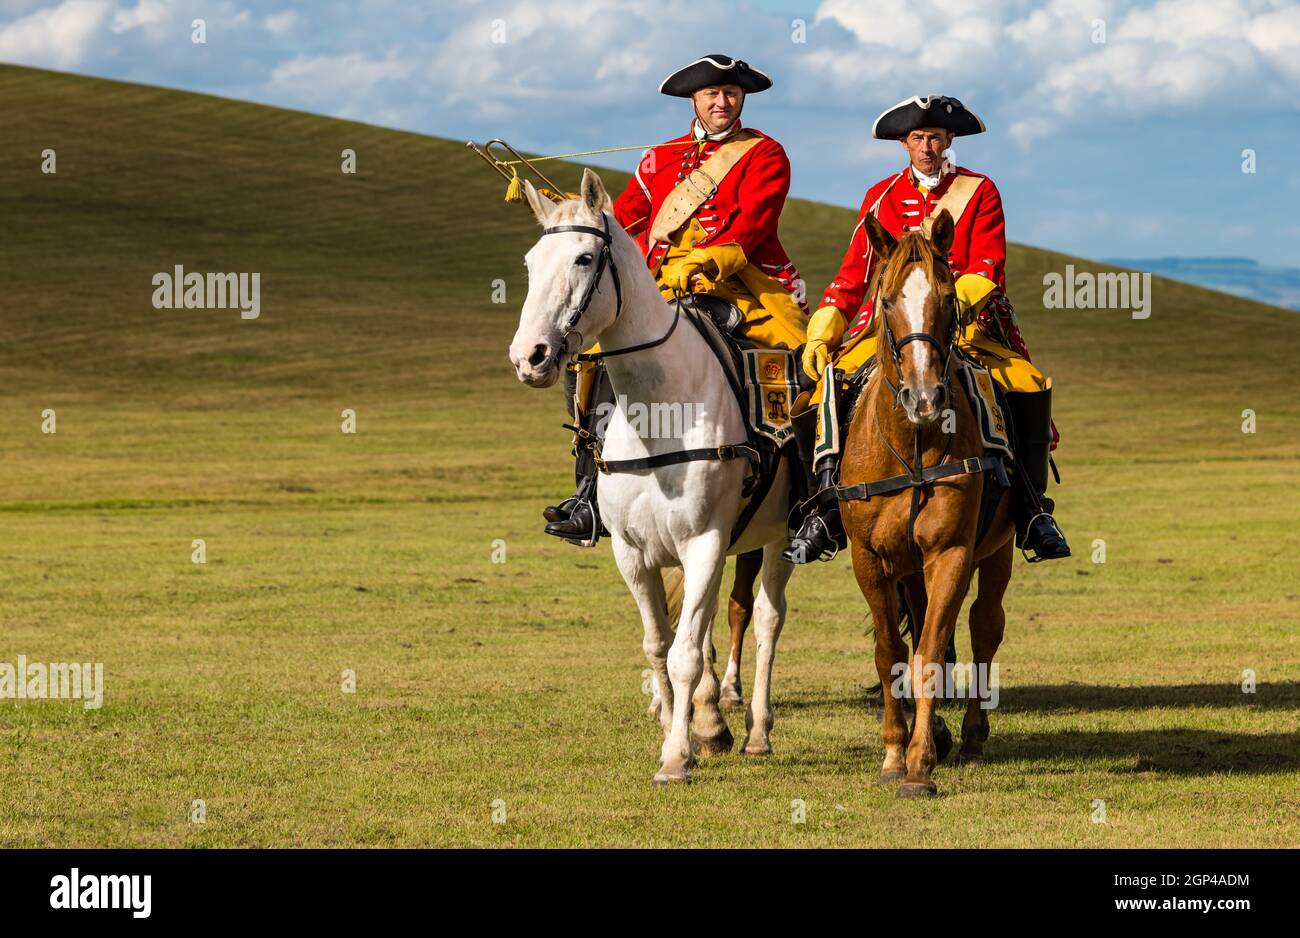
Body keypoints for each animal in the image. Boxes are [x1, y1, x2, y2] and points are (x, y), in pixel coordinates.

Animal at [504, 170, 790, 779]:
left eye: (585, 258)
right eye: (531, 262)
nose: (529, 356)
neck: (660, 411)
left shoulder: (705, 543)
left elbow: (684, 653)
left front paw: (677, 755)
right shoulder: (633, 553)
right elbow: (660, 643)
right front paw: (683, 728)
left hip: (778, 536)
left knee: (767, 619)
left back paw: (756, 730)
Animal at [842, 207, 1013, 795]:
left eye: (947, 295)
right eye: (887, 299)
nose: (924, 398)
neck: (912, 444)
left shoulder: (952, 552)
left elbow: (932, 652)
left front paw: (919, 762)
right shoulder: (869, 558)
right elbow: (889, 652)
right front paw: (895, 751)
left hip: (998, 551)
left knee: (985, 627)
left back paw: (973, 737)